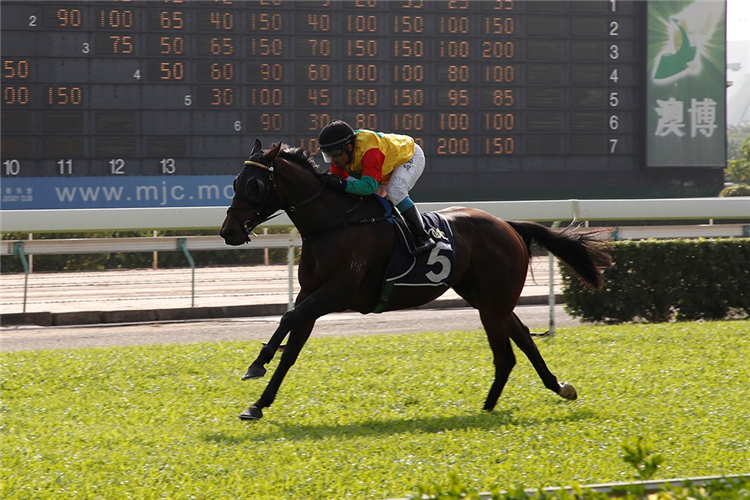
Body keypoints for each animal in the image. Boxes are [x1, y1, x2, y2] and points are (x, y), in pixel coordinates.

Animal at [219, 141, 612, 422]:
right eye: (234, 182)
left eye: (254, 185)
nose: (229, 232)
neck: (334, 222)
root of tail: (509, 225)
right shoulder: (311, 295)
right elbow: (291, 348)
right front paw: (258, 403)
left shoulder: (336, 292)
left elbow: (286, 318)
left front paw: (256, 364)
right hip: (489, 299)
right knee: (523, 342)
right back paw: (553, 388)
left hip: (492, 303)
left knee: (506, 354)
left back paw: (488, 408)